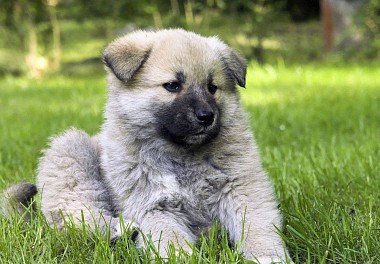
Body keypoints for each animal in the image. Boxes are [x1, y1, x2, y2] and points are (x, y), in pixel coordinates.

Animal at [4, 29, 290, 264]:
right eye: (172, 85)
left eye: (213, 88)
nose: (206, 117)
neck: (181, 154)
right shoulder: (152, 205)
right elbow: (171, 240)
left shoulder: (242, 188)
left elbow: (257, 226)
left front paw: (268, 256)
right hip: (71, 154)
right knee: (77, 219)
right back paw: (121, 230)